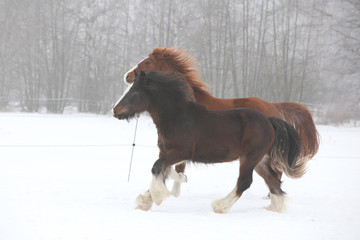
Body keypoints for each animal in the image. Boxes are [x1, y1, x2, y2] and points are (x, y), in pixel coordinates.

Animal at [114, 71, 306, 214]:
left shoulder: (182, 152)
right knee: (272, 180)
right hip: (261, 160)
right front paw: (146, 201)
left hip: (250, 157)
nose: (115, 110)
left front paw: (158, 196)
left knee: (245, 181)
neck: (177, 117)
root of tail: (269, 121)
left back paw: (220, 206)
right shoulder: (166, 152)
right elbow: (163, 171)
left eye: (135, 92)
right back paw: (276, 207)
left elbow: (157, 167)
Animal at [125, 47, 320, 197]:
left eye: (147, 62)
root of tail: (274, 107)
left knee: (276, 171)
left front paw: (172, 193)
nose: (127, 76)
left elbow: (178, 169)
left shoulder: (183, 147)